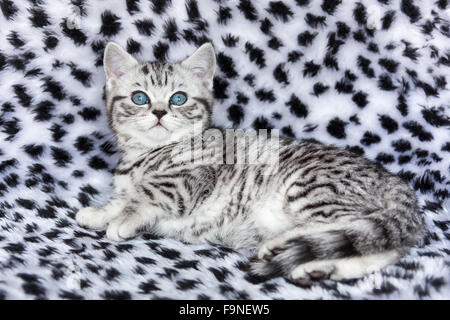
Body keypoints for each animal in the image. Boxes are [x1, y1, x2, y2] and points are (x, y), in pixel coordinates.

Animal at [77, 42, 426, 282]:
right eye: (140, 98)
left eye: (178, 98)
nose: (160, 112)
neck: (146, 154)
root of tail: (396, 182)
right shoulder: (128, 184)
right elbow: (121, 198)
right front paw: (99, 213)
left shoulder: (192, 176)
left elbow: (149, 193)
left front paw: (123, 219)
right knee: (382, 247)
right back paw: (319, 268)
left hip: (313, 187)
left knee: (356, 229)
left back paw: (282, 245)